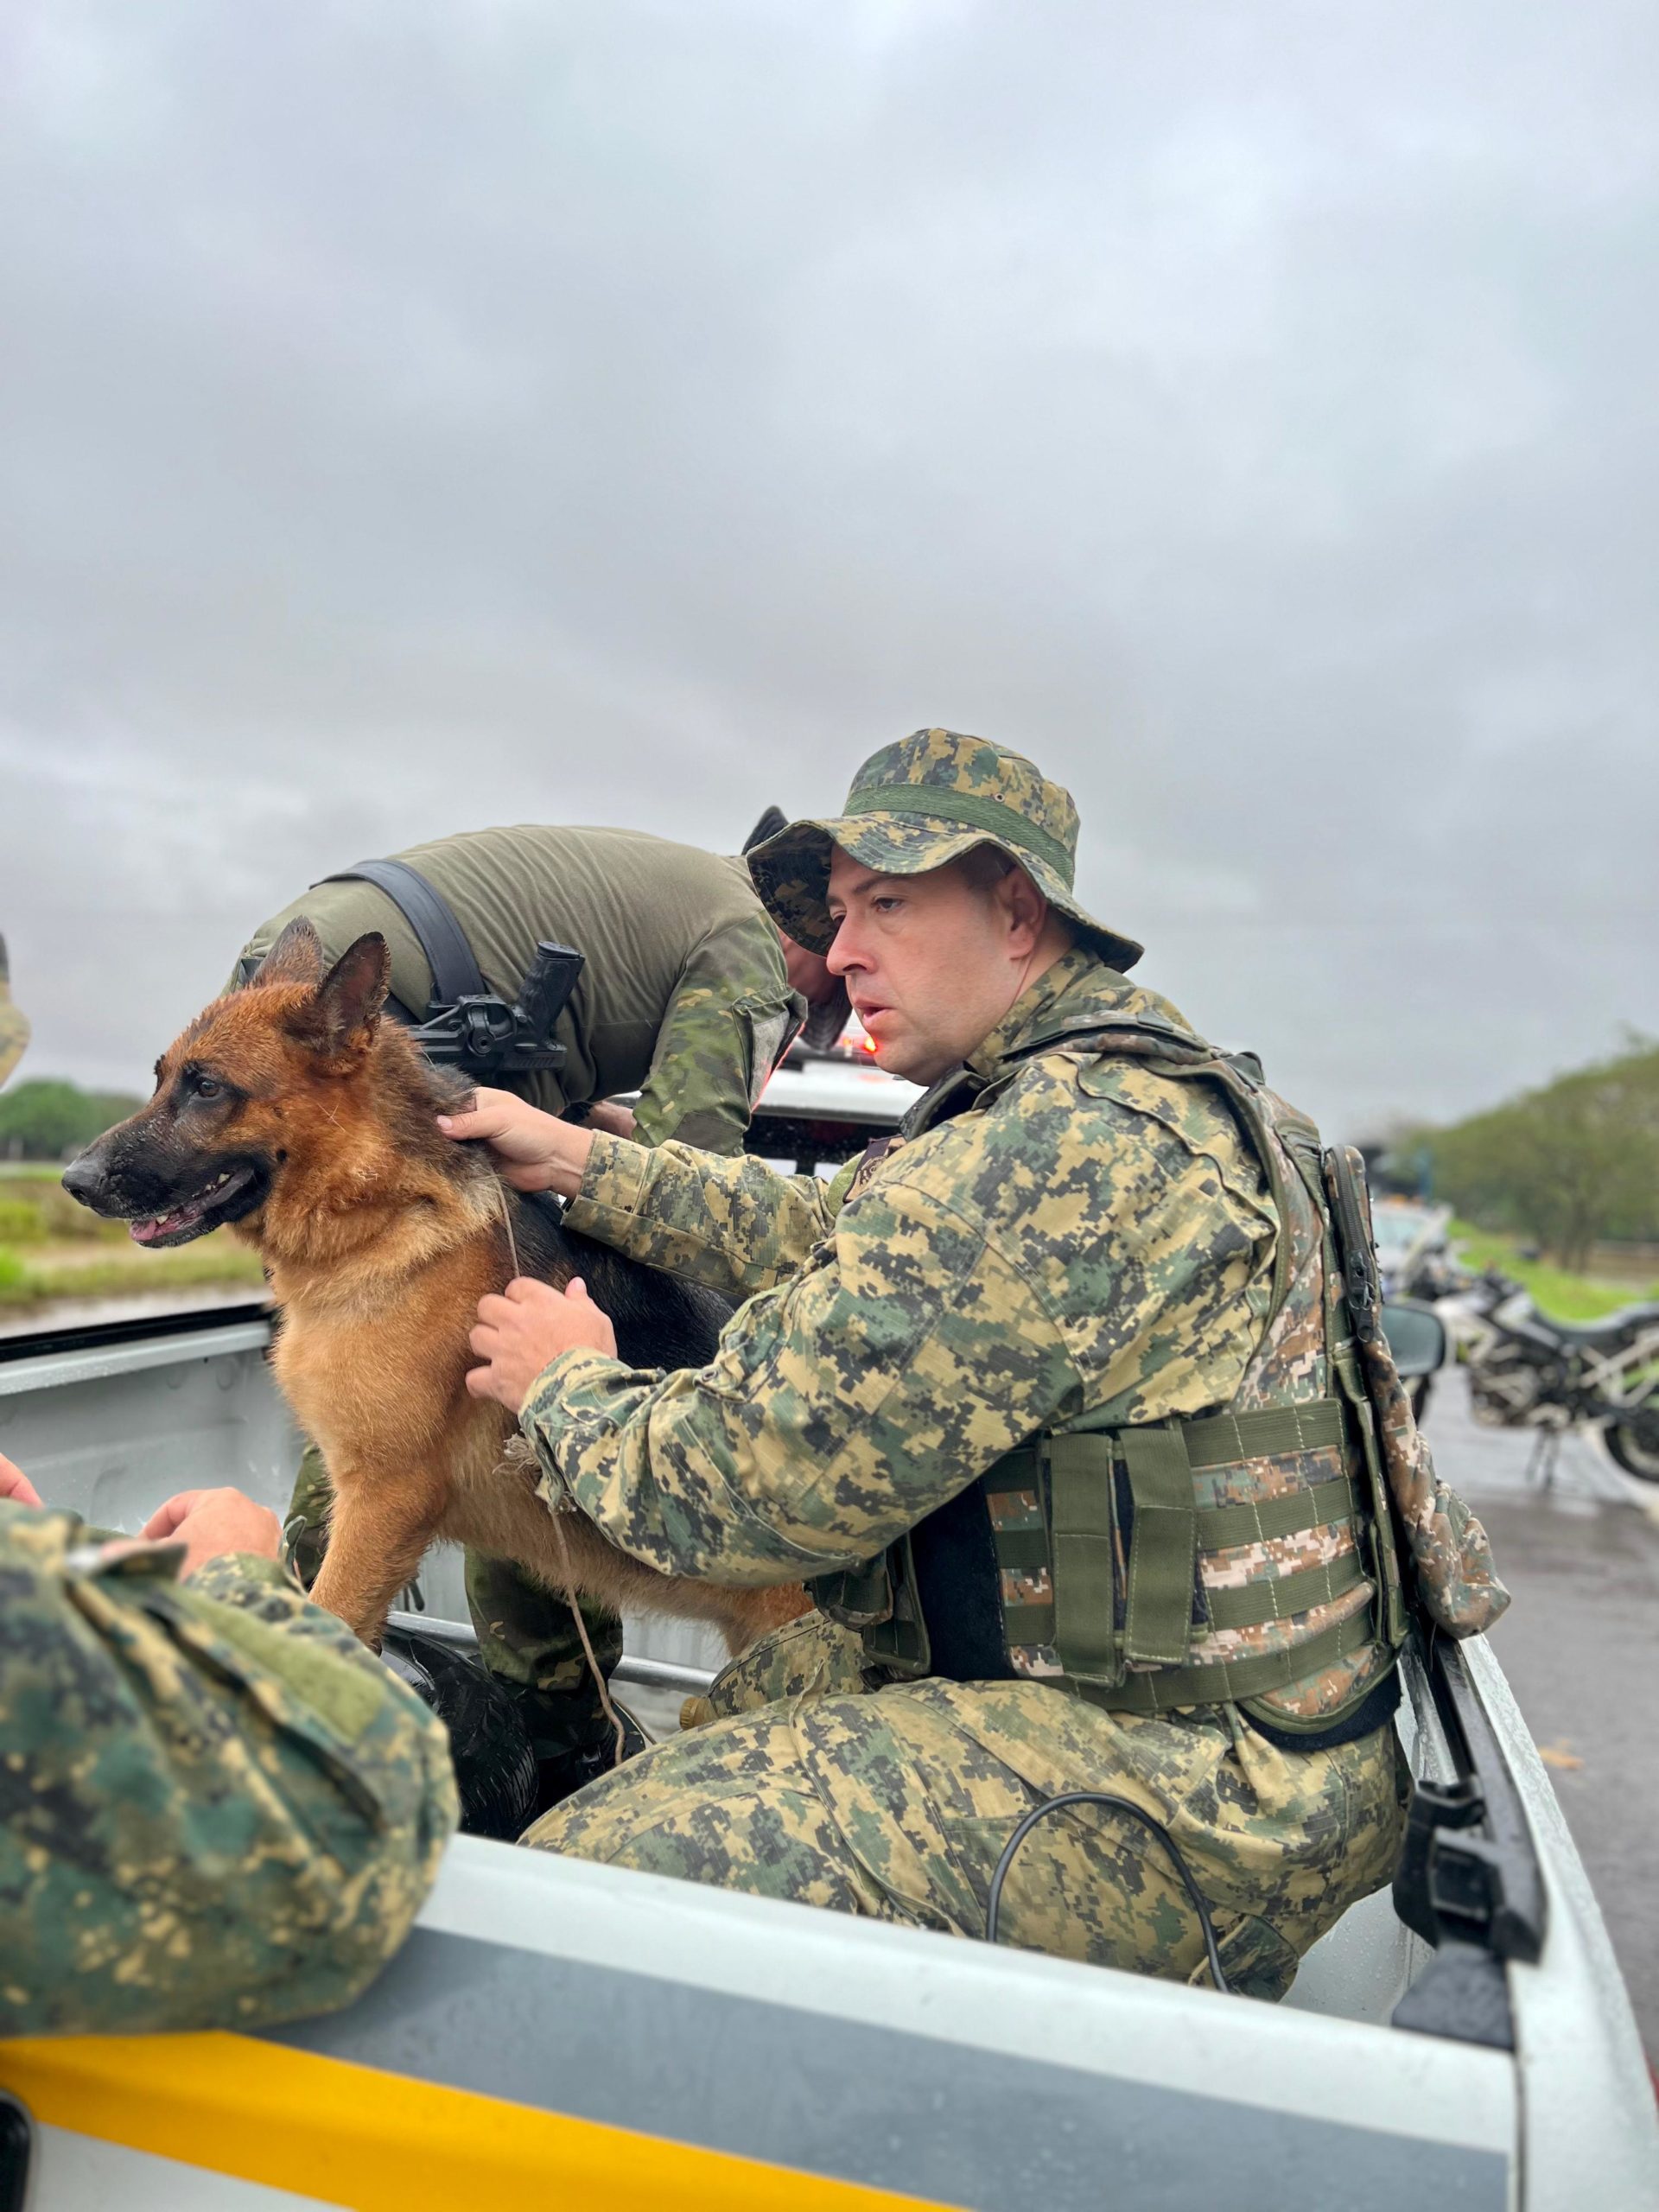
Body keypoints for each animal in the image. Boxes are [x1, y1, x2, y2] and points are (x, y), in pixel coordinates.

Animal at [65, 915, 814, 1663]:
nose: (75, 1180)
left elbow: (329, 1620)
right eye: (163, 1079)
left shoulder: (382, 1504)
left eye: (208, 1088)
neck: (383, 1210)